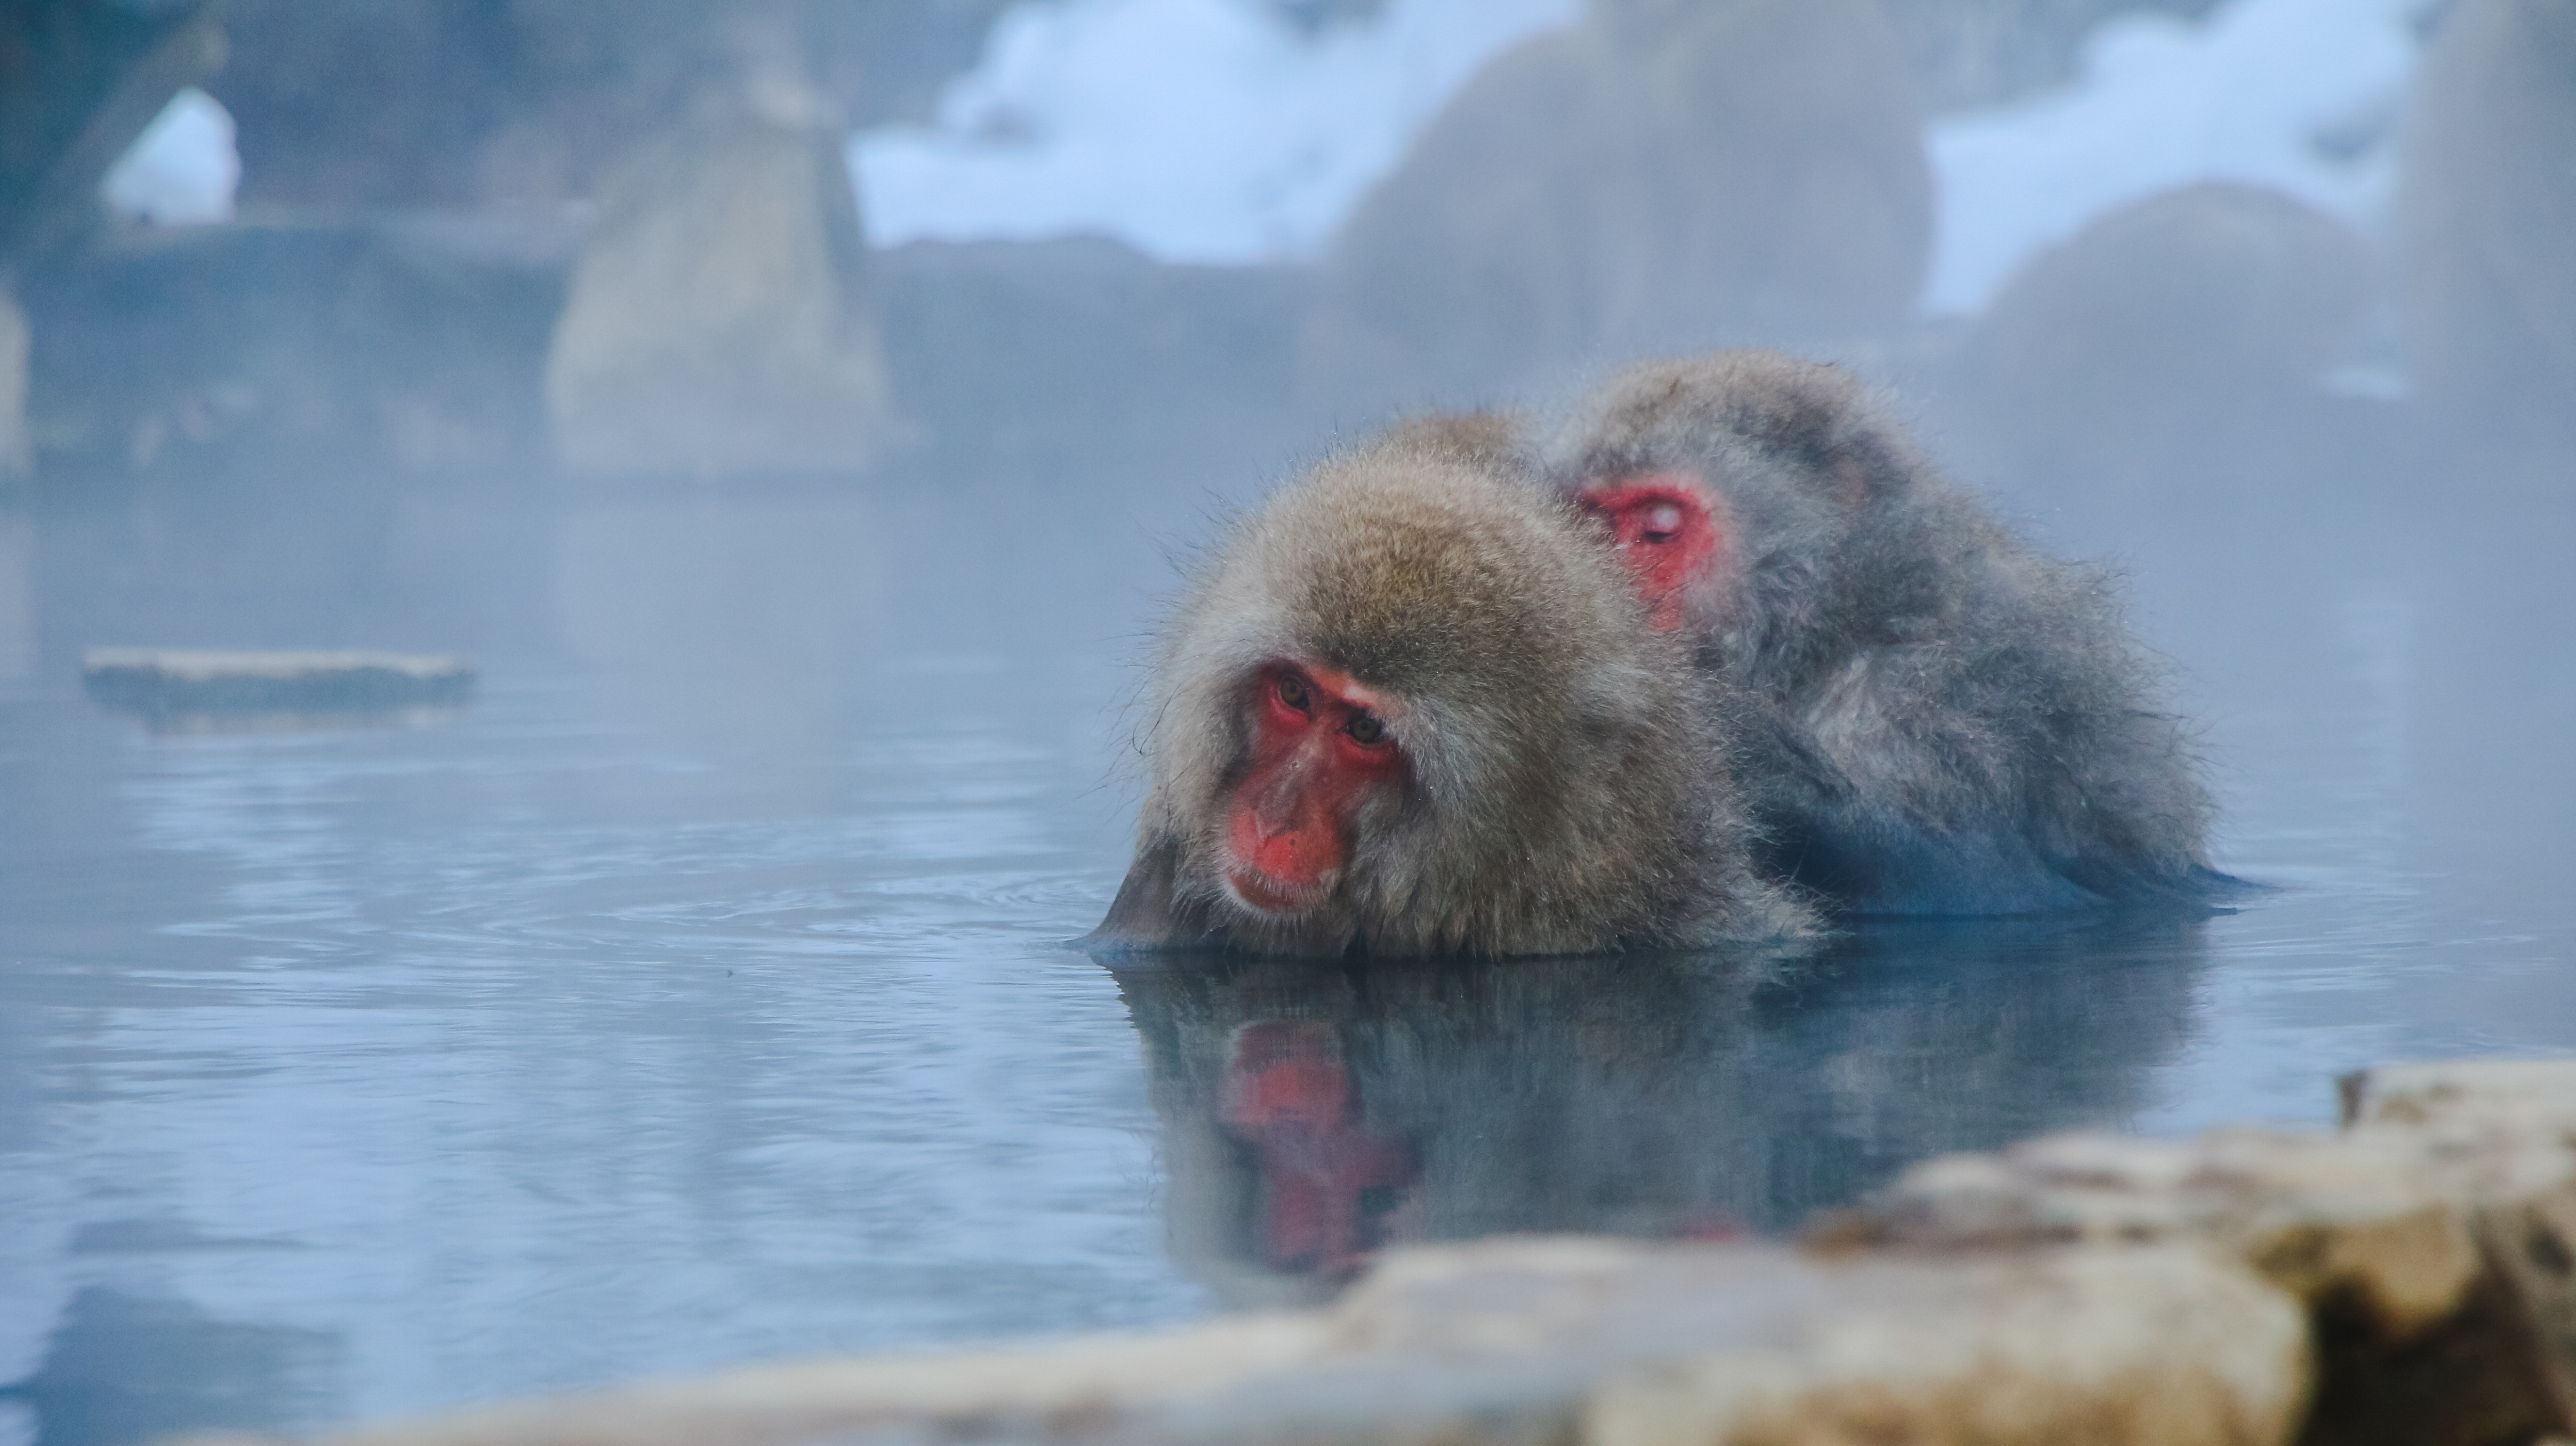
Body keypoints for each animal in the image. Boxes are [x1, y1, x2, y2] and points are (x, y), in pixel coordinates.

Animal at [1546, 350, 2236, 912]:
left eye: (1659, 528)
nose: (1610, 590)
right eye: (1594, 524)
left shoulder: (1950, 696)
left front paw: (1751, 754)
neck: (1836, 626)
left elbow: (1985, 886)